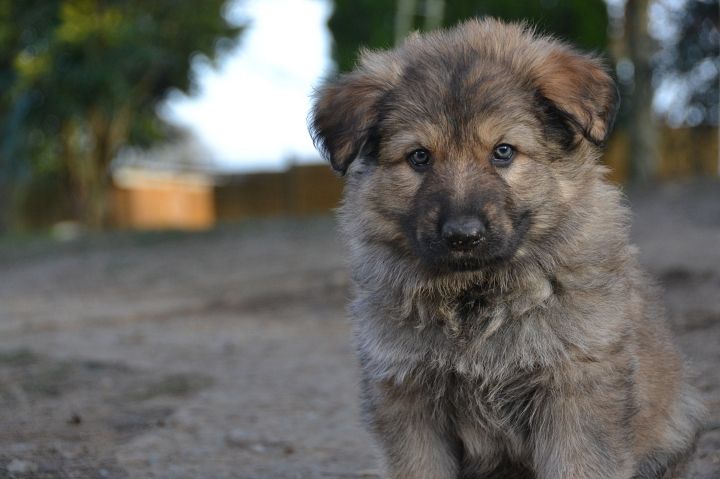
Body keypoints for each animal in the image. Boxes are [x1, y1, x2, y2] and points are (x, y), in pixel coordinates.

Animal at [310, 19, 704, 479]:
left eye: (503, 151)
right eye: (419, 157)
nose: (463, 236)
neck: (475, 297)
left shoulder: (577, 390)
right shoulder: (408, 399)